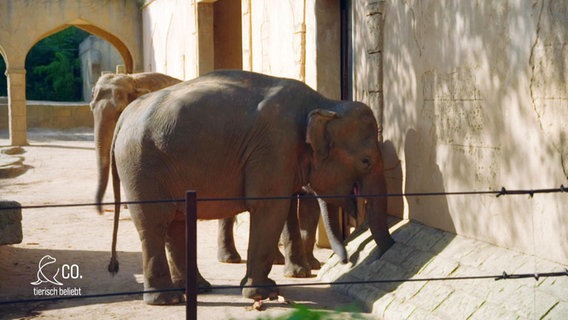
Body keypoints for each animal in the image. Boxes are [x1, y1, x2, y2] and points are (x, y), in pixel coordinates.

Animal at [104, 70, 392, 304]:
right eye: (366, 161)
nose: (346, 260)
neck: (324, 104)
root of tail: (123, 118)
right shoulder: (275, 147)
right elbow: (269, 207)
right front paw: (265, 293)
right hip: (142, 166)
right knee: (154, 222)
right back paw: (166, 300)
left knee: (176, 222)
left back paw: (198, 289)